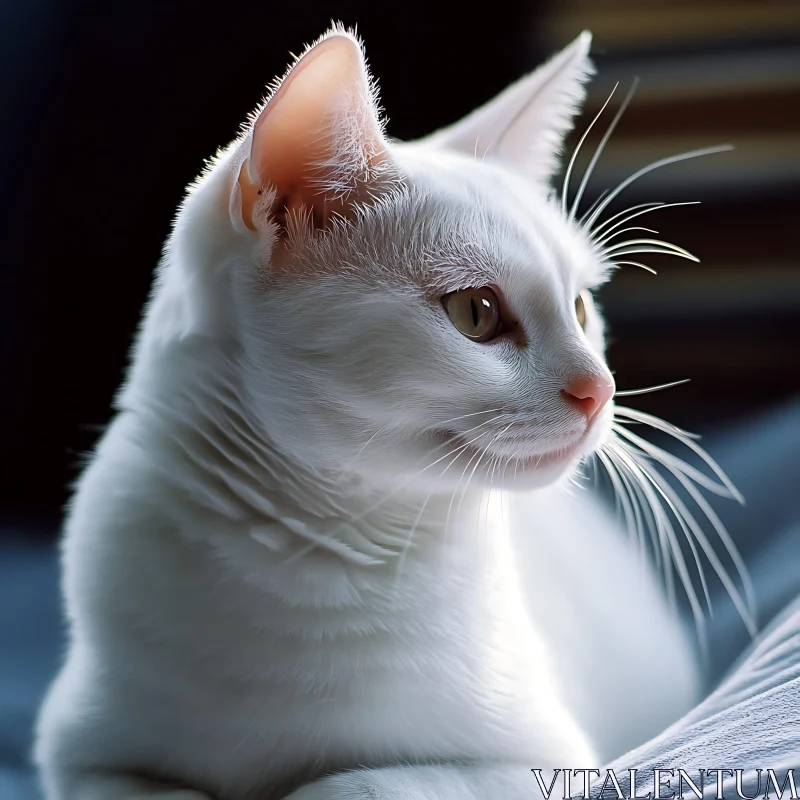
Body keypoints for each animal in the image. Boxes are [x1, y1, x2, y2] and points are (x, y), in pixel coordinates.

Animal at [34, 25, 720, 800]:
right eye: (476, 313)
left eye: (579, 308)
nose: (599, 389)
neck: (314, 556)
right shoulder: (80, 754)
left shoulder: (538, 760)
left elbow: (347, 782)